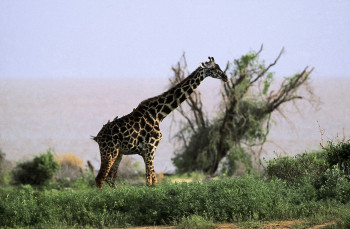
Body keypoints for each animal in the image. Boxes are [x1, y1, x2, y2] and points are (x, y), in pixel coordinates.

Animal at [93, 56, 228, 189]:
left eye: (219, 66)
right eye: (212, 68)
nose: (226, 77)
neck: (159, 114)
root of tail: (97, 137)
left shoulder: (147, 151)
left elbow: (153, 181)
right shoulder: (150, 148)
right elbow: (149, 182)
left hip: (118, 153)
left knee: (110, 179)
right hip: (109, 151)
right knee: (100, 178)